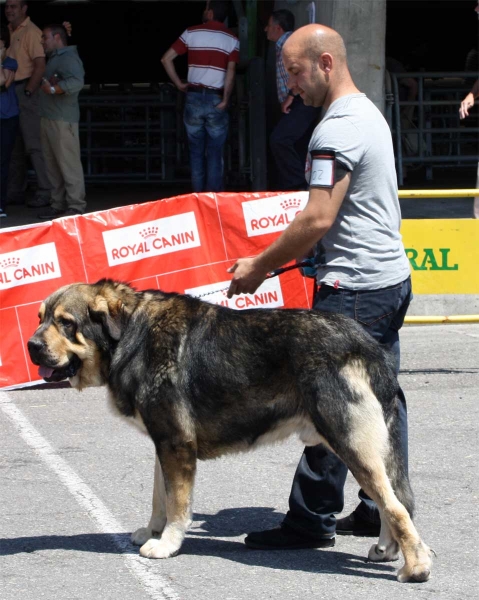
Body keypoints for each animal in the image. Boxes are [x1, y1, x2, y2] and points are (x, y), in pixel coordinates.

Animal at [27, 280, 436, 580]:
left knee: (396, 507)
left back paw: (416, 567)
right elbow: (159, 498)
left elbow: (176, 504)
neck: (131, 335)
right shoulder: (164, 443)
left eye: (66, 323)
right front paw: (152, 531)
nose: (31, 345)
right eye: (40, 318)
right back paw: (387, 550)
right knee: (396, 501)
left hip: (351, 443)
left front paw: (167, 544)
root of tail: (366, 345)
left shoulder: (176, 445)